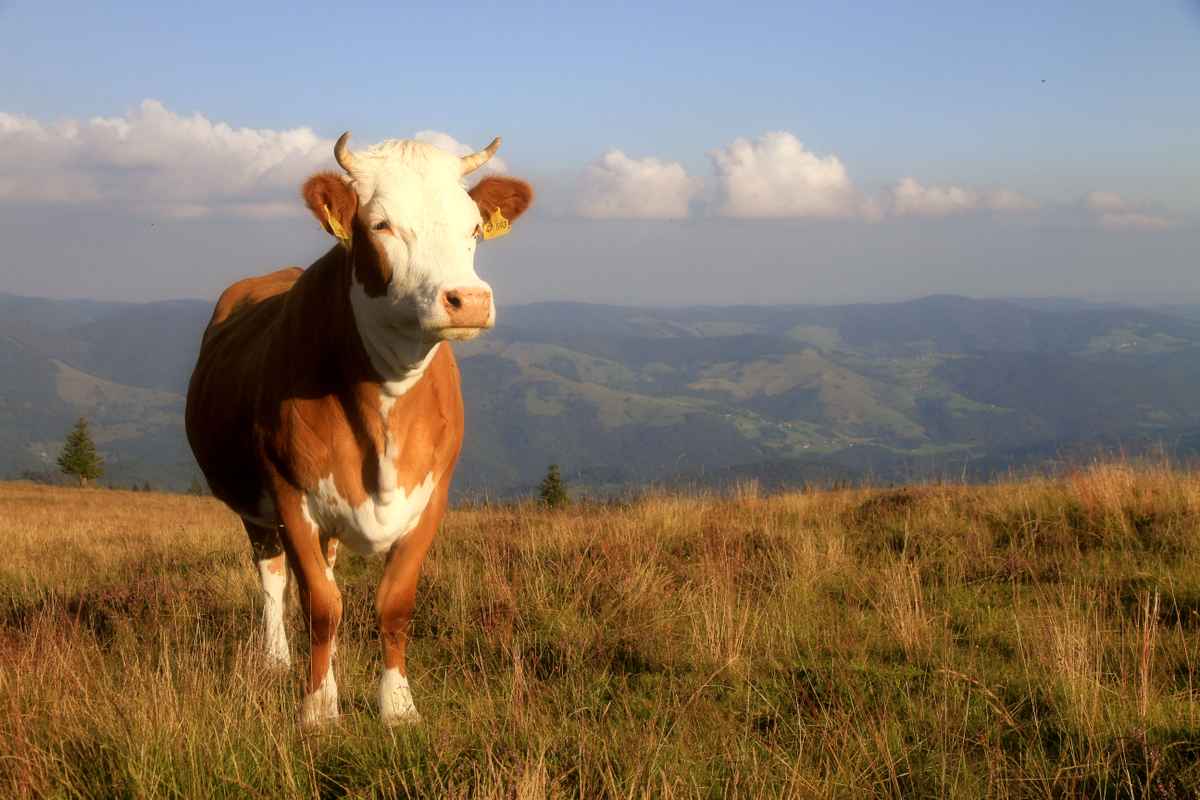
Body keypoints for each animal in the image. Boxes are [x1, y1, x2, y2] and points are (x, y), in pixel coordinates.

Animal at [185, 132, 532, 727]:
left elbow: (393, 602)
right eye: (382, 225)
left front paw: (397, 705)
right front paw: (318, 707)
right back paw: (276, 659)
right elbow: (321, 605)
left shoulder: (432, 495)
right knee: (273, 575)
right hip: (252, 504)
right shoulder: (288, 491)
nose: (468, 300)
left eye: (473, 228)